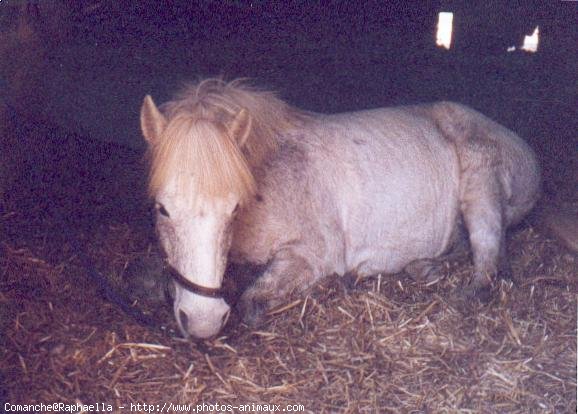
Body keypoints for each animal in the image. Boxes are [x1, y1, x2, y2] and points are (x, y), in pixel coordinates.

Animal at [140, 78, 540, 340]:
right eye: (162, 209)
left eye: (235, 209)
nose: (203, 321)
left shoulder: (314, 255)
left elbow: (252, 298)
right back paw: (424, 267)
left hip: (482, 188)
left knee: (487, 260)